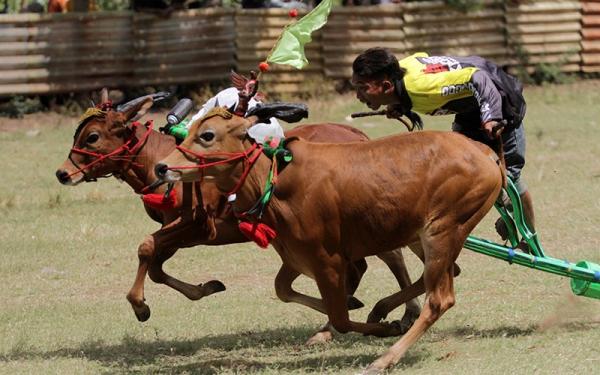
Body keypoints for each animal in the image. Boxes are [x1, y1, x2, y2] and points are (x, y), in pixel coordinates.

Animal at [56, 90, 422, 340]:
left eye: (92, 136)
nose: (63, 173)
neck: (157, 161)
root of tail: (358, 135)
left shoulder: (195, 226)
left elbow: (146, 248)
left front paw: (140, 306)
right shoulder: (178, 232)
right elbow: (156, 267)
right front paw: (205, 287)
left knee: (391, 255)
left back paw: (397, 313)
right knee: (369, 263)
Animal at [156, 105, 506, 374]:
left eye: (207, 135)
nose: (162, 167)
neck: (275, 180)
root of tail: (484, 152)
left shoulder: (328, 260)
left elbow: (340, 316)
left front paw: (379, 326)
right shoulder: (295, 255)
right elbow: (284, 290)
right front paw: (361, 312)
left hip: (442, 231)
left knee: (439, 299)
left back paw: (385, 357)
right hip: (423, 235)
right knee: (439, 278)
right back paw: (382, 310)